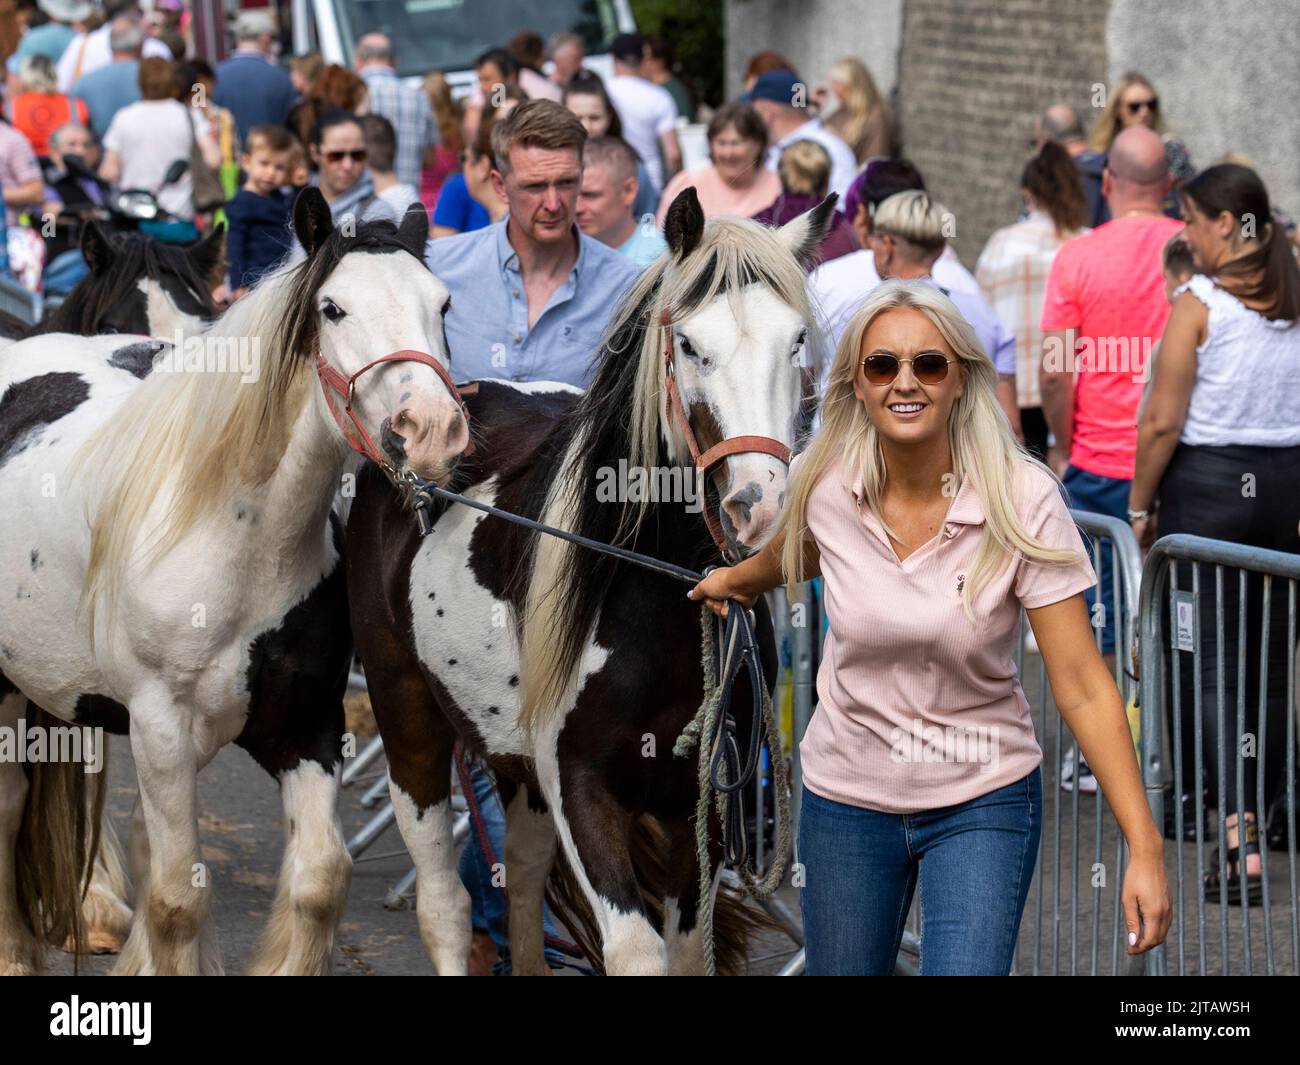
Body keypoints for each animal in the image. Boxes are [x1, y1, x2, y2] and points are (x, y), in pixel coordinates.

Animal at [0, 191, 467, 972]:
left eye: (444, 303)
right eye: (333, 307)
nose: (431, 429)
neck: (234, 538)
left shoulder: (308, 726)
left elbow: (319, 880)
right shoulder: (158, 728)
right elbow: (175, 899)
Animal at [345, 189, 832, 972]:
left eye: (793, 343)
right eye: (690, 346)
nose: (758, 507)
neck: (656, 600)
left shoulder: (697, 802)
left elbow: (686, 948)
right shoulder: (581, 785)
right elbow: (635, 950)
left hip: (515, 763)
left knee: (519, 879)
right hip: (405, 715)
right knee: (444, 902)